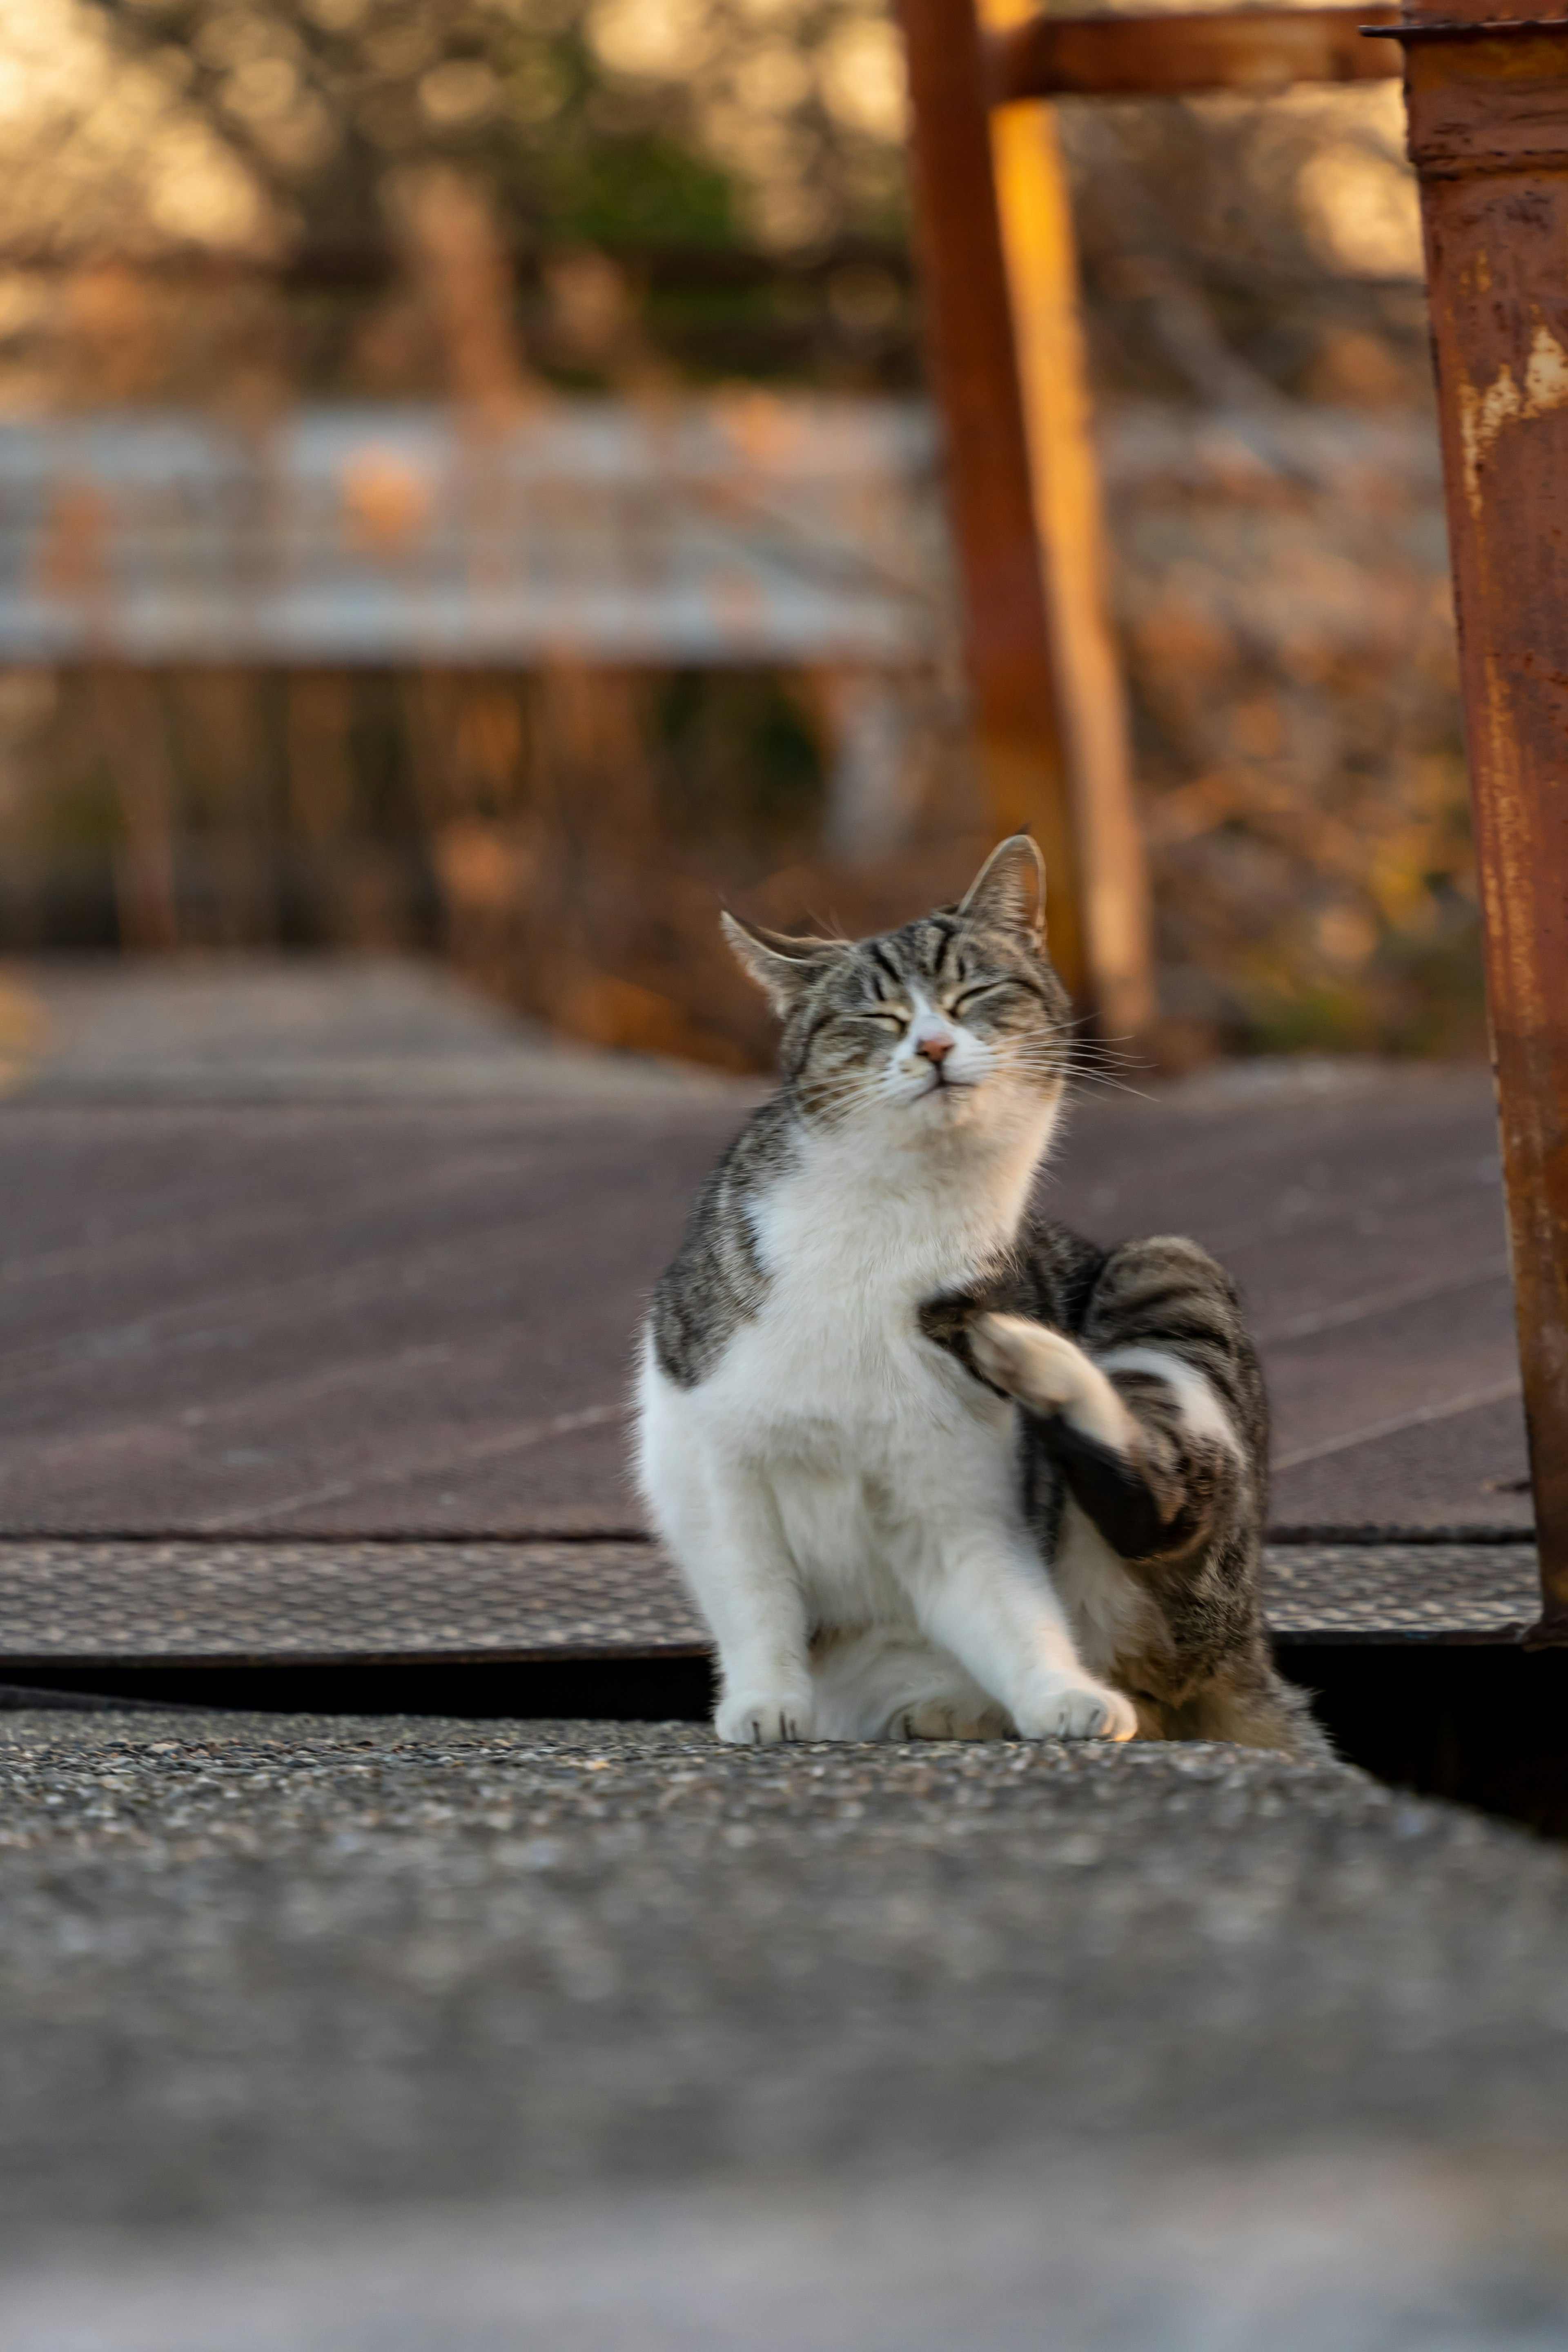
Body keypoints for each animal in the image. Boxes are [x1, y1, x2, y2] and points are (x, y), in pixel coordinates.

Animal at [630, 833, 1316, 1750]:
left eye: (972, 994)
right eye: (877, 1016)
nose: (933, 1047)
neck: (892, 1216)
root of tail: (1246, 1648)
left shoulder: (957, 1495)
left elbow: (1009, 1605)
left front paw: (1061, 1694)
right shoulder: (714, 1467)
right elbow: (754, 1598)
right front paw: (766, 1701)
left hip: (1169, 1264)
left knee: (1166, 1503)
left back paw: (1027, 1357)